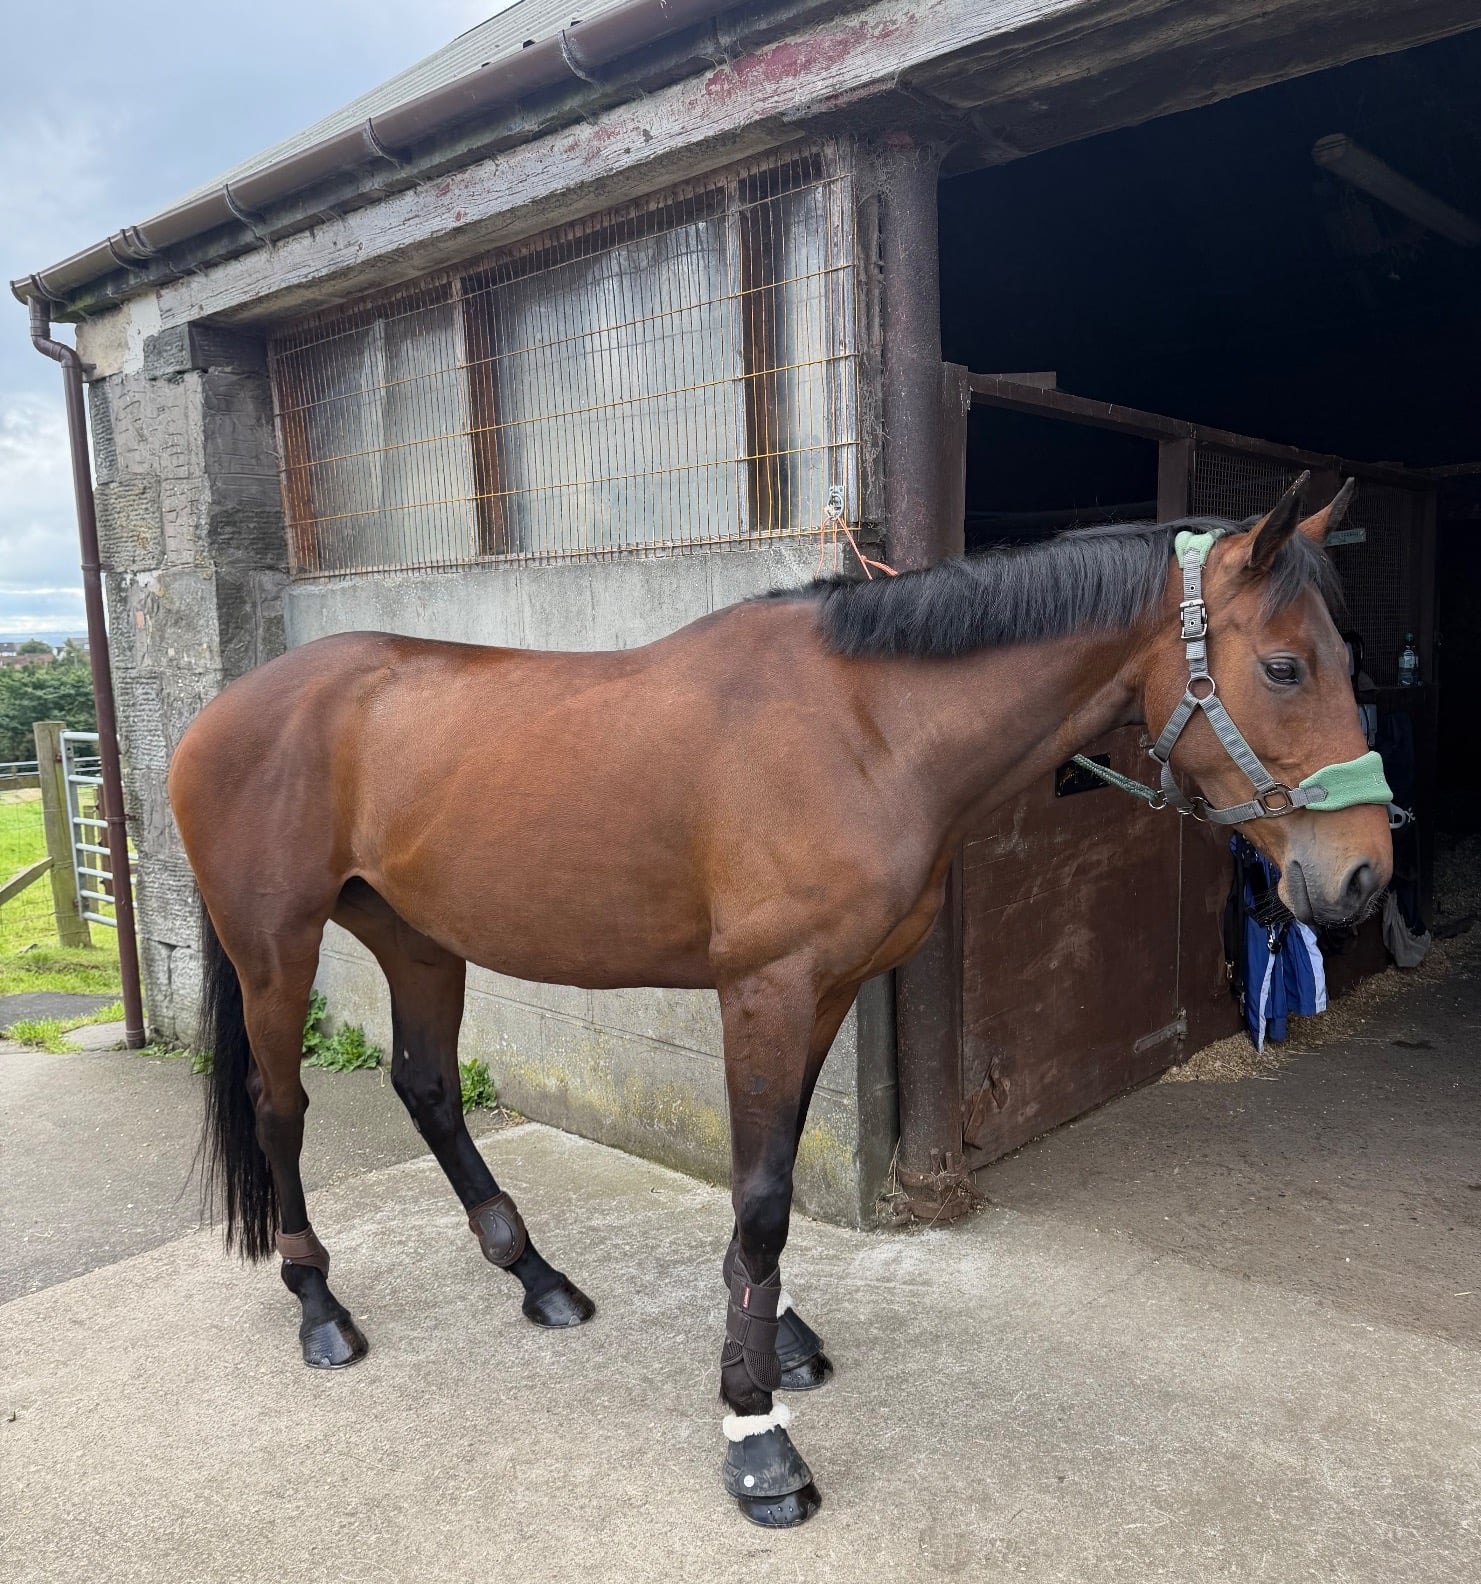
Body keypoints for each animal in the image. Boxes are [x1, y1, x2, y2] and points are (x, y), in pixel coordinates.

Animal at [168, 473, 1392, 1527]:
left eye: (1344, 657)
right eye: (1284, 667)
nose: (1360, 877)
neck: (867, 730)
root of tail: (220, 711)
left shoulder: (828, 990)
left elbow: (780, 1177)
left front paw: (774, 1341)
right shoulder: (765, 989)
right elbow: (758, 1199)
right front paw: (755, 1432)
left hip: (419, 942)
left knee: (426, 1087)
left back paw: (538, 1278)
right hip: (275, 951)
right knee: (281, 1112)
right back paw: (321, 1308)